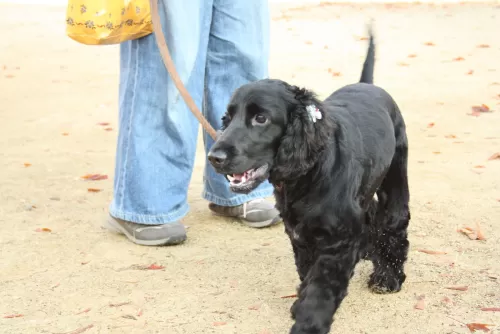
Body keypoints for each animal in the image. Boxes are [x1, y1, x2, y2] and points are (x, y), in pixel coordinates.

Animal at [207, 30, 410, 332]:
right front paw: (298, 305)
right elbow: (307, 275)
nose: (214, 157)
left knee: (395, 222)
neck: (310, 174)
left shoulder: (337, 243)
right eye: (228, 118)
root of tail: (367, 86)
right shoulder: (301, 236)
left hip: (395, 178)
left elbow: (320, 290)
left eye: (261, 118)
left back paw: (388, 277)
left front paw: (308, 323)